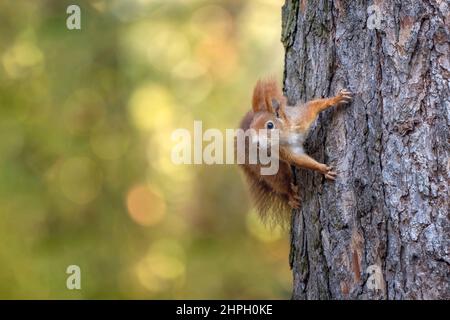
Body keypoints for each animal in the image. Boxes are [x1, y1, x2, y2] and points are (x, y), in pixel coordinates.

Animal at [239, 79, 352, 221]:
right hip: (270, 167)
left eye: (270, 125)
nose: (257, 143)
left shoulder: (300, 119)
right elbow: (298, 160)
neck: (285, 135)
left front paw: (336, 98)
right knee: (281, 182)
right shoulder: (282, 151)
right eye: (252, 128)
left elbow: (313, 106)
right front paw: (323, 169)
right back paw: (291, 197)